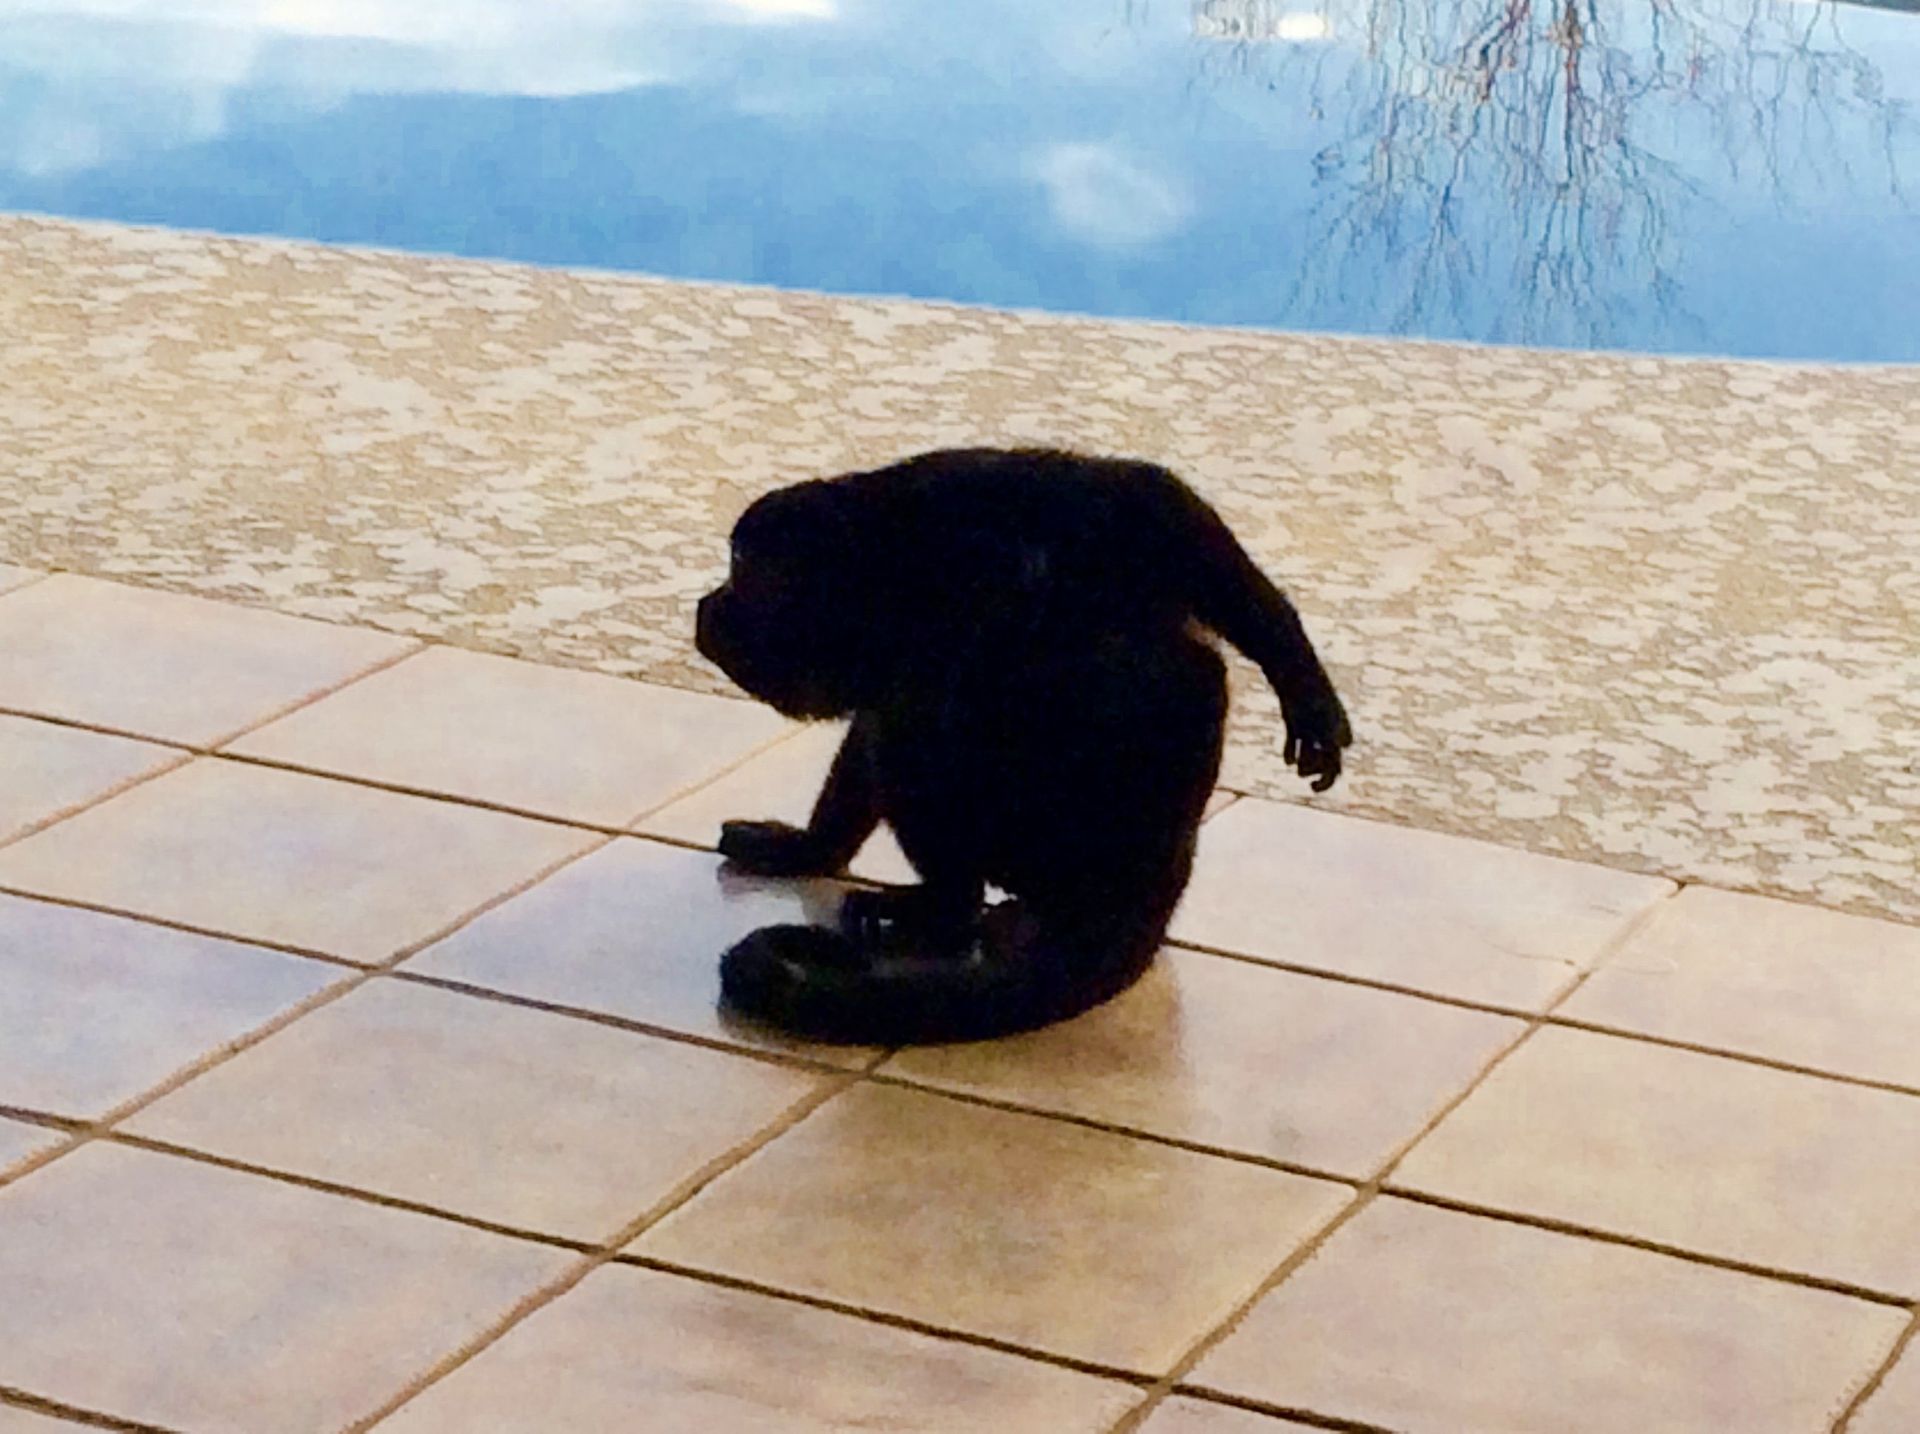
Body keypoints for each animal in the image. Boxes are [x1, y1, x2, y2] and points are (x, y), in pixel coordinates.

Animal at [693, 447, 1351, 1045]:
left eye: (739, 569)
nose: (708, 609)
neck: (898, 576)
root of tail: (1148, 883)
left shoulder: (967, 485)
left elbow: (1155, 504)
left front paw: (1304, 685)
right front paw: (810, 848)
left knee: (921, 721)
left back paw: (944, 911)